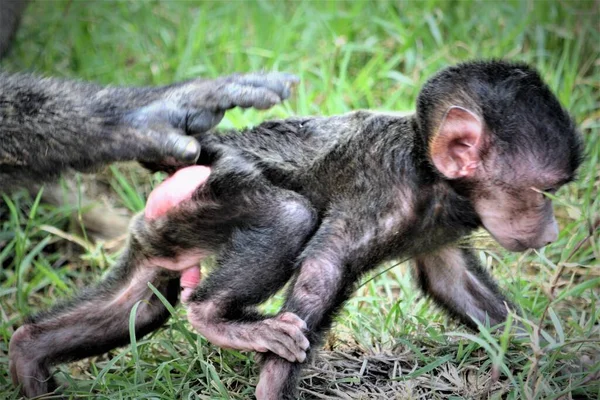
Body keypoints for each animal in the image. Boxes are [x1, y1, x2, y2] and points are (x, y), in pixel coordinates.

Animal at [8, 61, 580, 398]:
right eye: (543, 194)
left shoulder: (438, 228)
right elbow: (322, 269)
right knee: (289, 216)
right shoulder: (383, 193)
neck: (431, 175)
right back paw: (213, 317)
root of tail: (202, 153)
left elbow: (451, 281)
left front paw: (554, 359)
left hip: (168, 225)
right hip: (217, 187)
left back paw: (28, 353)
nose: (551, 230)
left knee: (140, 302)